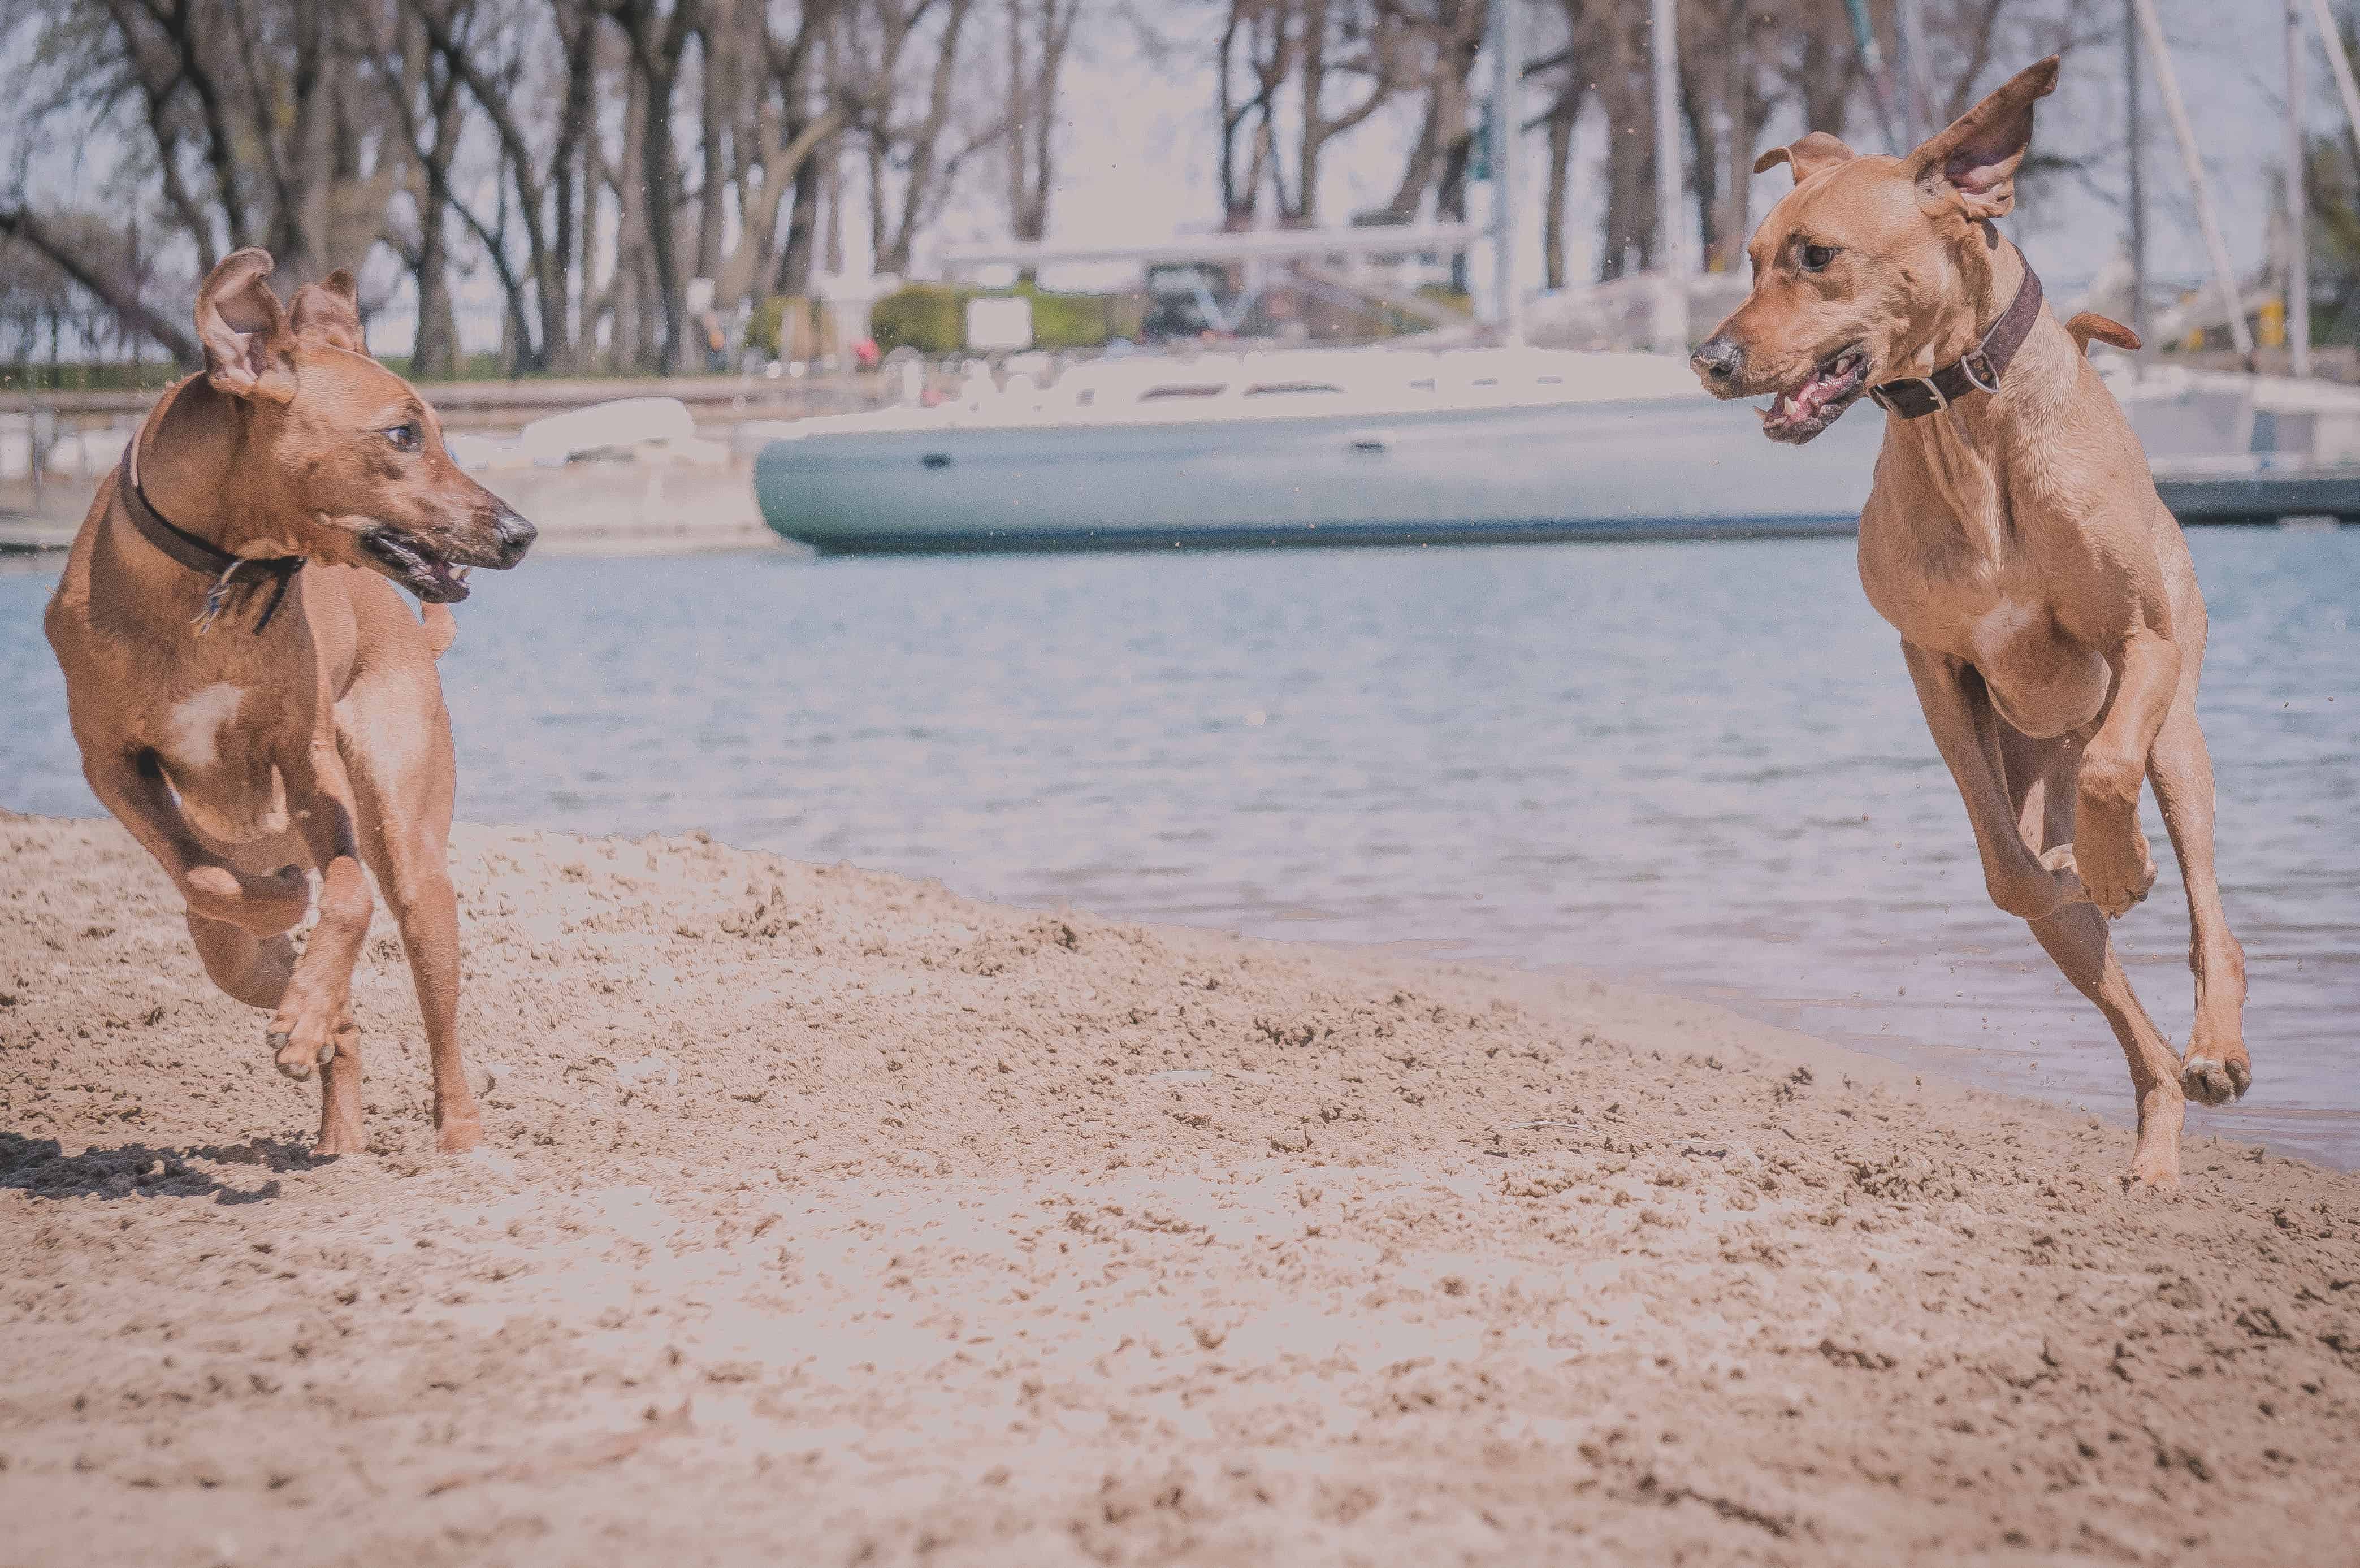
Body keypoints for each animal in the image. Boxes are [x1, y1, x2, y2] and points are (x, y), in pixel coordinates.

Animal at [45, 245, 535, 1152]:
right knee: (273, 967)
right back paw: (328, 1079)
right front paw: (290, 942)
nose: (521, 533)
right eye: (404, 434)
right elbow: (211, 880)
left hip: (412, 848)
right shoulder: (112, 764)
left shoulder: (306, 757)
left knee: (435, 1002)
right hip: (231, 935)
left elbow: (348, 888)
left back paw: (452, 1132)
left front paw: (308, 956)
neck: (215, 578)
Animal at [1699, 55, 2246, 1194]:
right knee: (2115, 994)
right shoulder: (1933, 660)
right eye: (1756, 257)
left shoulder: (2142, 641)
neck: (1965, 422)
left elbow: (2112, 768)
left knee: (2204, 903)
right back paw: (2156, 1132)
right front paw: (2084, 872)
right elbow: (2011, 874)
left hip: (2181, 728)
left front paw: (2124, 861)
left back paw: (2214, 1035)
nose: (1709, 358)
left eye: (1816, 257)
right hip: (2037, 771)